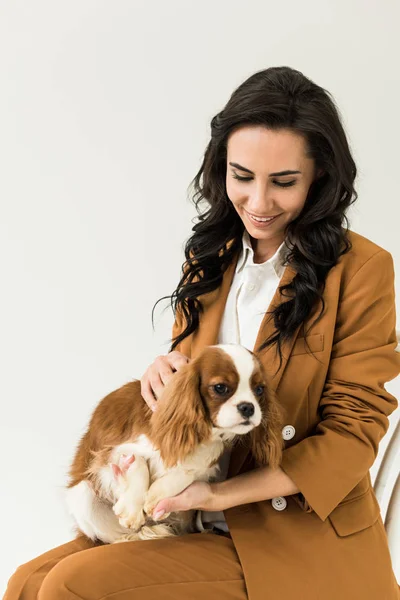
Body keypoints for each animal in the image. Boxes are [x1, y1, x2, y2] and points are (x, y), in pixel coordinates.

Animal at [64, 342, 282, 544]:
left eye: (259, 389)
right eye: (220, 388)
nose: (248, 407)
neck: (204, 434)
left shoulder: (207, 461)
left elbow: (186, 474)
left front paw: (157, 497)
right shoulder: (112, 451)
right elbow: (139, 463)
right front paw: (132, 510)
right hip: (83, 494)